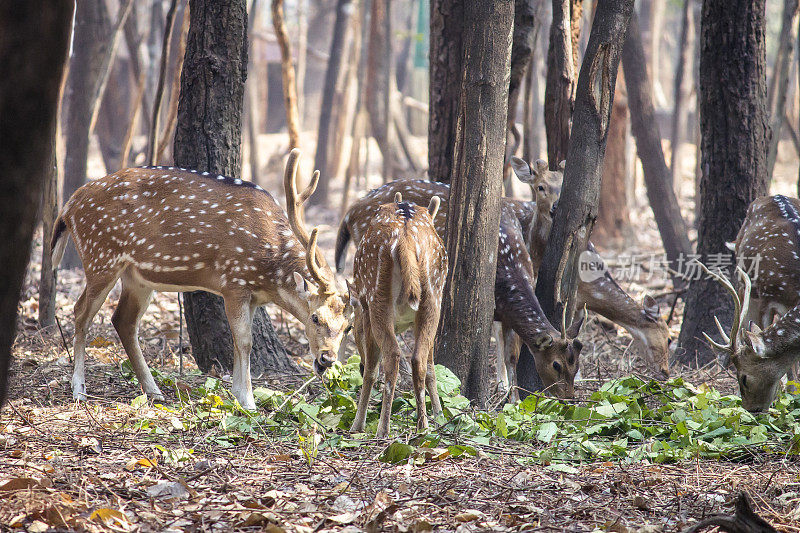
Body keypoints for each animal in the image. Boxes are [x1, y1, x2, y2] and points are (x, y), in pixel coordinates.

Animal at [50, 149, 350, 408]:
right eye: (315, 317)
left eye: (347, 327)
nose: (327, 359)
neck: (269, 271)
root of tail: (68, 207)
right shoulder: (234, 281)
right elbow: (244, 340)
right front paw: (248, 401)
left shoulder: (253, 297)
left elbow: (242, 341)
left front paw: (240, 395)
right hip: (100, 256)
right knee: (80, 312)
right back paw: (79, 390)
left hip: (137, 278)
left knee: (123, 320)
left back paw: (154, 391)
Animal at [334, 181, 584, 396]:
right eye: (556, 364)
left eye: (577, 365)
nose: (570, 397)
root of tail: (350, 211)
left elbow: (511, 355)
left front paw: (511, 398)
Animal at [350, 193, 450, 434]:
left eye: (353, 330)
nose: (358, 364)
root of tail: (406, 239)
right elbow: (432, 367)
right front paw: (439, 415)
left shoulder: (366, 312)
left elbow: (372, 370)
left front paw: (357, 424)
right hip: (433, 296)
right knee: (419, 359)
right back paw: (423, 425)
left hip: (376, 294)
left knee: (392, 356)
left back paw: (383, 428)